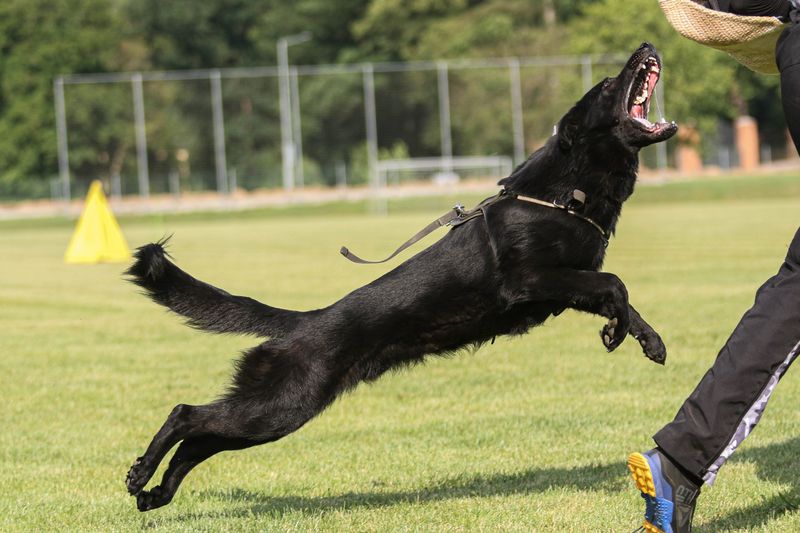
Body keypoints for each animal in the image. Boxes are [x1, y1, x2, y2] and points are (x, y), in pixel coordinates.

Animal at [123, 43, 676, 510]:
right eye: (608, 85)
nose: (646, 47)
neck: (565, 192)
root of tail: (303, 321)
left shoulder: (566, 282)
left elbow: (620, 297)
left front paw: (642, 337)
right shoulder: (533, 280)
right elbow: (616, 285)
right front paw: (618, 331)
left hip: (273, 415)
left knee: (198, 443)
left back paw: (155, 494)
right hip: (278, 406)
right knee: (186, 415)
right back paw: (141, 472)